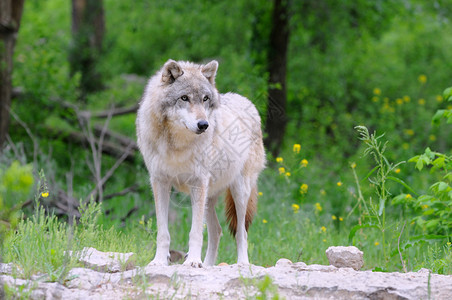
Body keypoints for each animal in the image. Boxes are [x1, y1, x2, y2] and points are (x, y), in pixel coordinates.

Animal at [136, 59, 266, 268]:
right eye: (184, 98)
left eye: (205, 99)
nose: (204, 125)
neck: (178, 145)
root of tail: (248, 102)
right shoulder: (160, 182)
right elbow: (163, 232)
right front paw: (159, 261)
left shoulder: (198, 183)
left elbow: (195, 232)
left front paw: (193, 261)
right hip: (209, 198)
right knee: (217, 231)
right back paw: (208, 266)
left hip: (239, 191)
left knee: (241, 232)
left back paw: (242, 264)